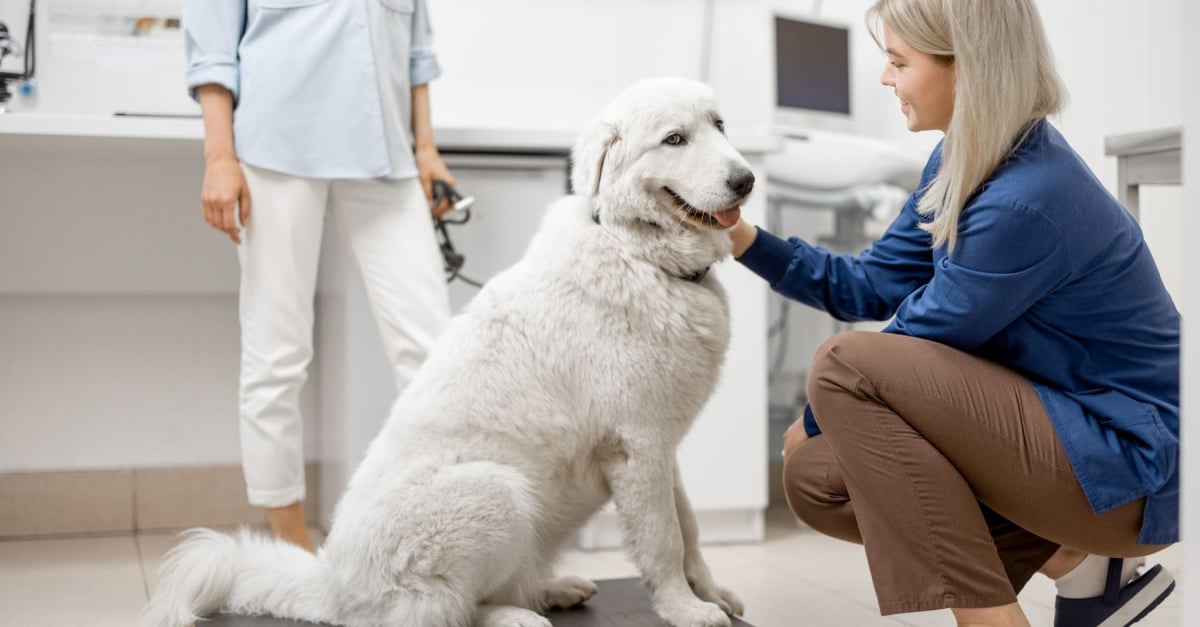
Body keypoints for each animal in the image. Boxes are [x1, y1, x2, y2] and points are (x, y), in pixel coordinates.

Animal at [145, 76, 753, 624]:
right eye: (674, 139)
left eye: (720, 126)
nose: (746, 179)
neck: (638, 252)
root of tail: (329, 584)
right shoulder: (637, 445)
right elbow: (662, 540)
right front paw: (685, 609)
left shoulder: (660, 447)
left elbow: (689, 528)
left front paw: (711, 593)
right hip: (495, 491)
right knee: (442, 612)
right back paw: (518, 617)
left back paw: (553, 590)